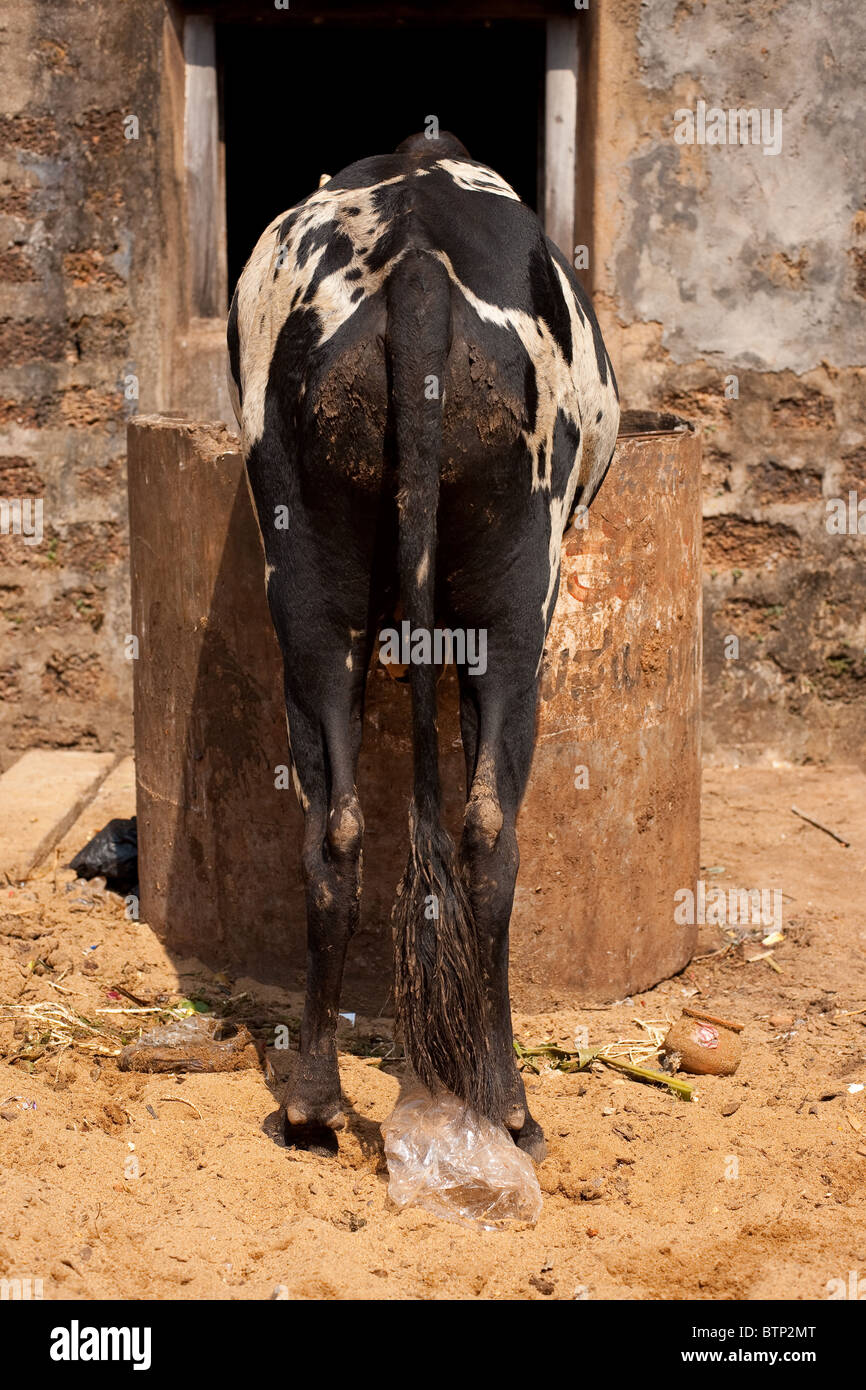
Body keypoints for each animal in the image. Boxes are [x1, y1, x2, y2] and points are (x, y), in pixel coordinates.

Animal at [227, 131, 619, 1161]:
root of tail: (413, 266)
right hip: (519, 578)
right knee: (488, 831)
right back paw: (509, 1106)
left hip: (305, 570)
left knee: (333, 830)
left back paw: (312, 1105)